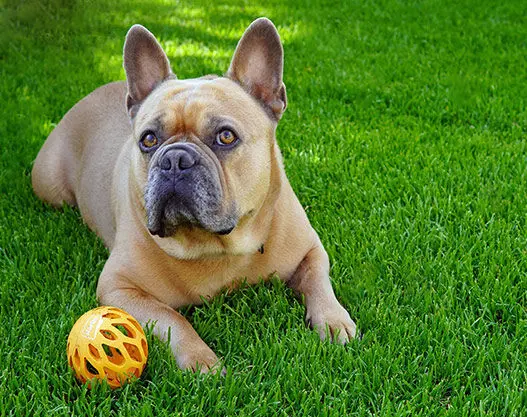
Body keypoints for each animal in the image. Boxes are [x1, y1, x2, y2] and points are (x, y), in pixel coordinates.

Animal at [31, 17, 356, 372]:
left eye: (226, 136)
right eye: (148, 140)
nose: (175, 159)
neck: (215, 247)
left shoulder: (311, 250)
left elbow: (318, 280)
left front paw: (333, 321)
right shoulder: (119, 287)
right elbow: (173, 319)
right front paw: (204, 363)